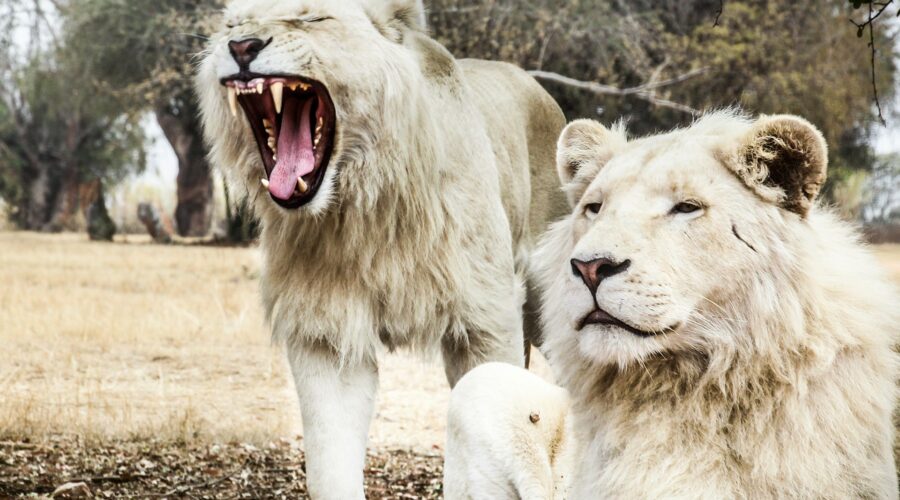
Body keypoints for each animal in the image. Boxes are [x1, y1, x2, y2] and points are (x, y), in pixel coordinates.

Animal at [194, 0, 566, 497]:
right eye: (232, 26)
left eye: (311, 18)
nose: (241, 47)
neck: (364, 208)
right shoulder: (324, 333)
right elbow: (330, 463)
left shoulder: (486, 321)